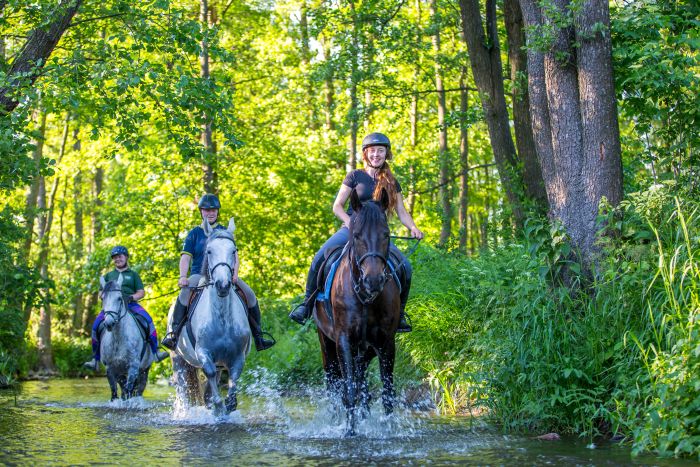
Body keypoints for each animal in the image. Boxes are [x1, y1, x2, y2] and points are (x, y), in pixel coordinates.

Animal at [167, 219, 252, 416]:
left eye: (233, 251)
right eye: (209, 251)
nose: (223, 285)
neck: (222, 320)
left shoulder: (237, 358)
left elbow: (232, 382)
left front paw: (227, 407)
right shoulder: (204, 353)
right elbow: (210, 375)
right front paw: (219, 407)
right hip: (179, 361)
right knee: (185, 392)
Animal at [314, 188, 400, 436]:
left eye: (386, 234)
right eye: (357, 235)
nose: (373, 280)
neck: (364, 298)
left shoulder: (386, 342)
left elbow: (387, 392)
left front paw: (389, 429)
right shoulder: (343, 340)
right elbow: (349, 390)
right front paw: (349, 431)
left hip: (365, 350)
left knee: (361, 382)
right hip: (326, 342)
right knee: (333, 384)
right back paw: (335, 420)